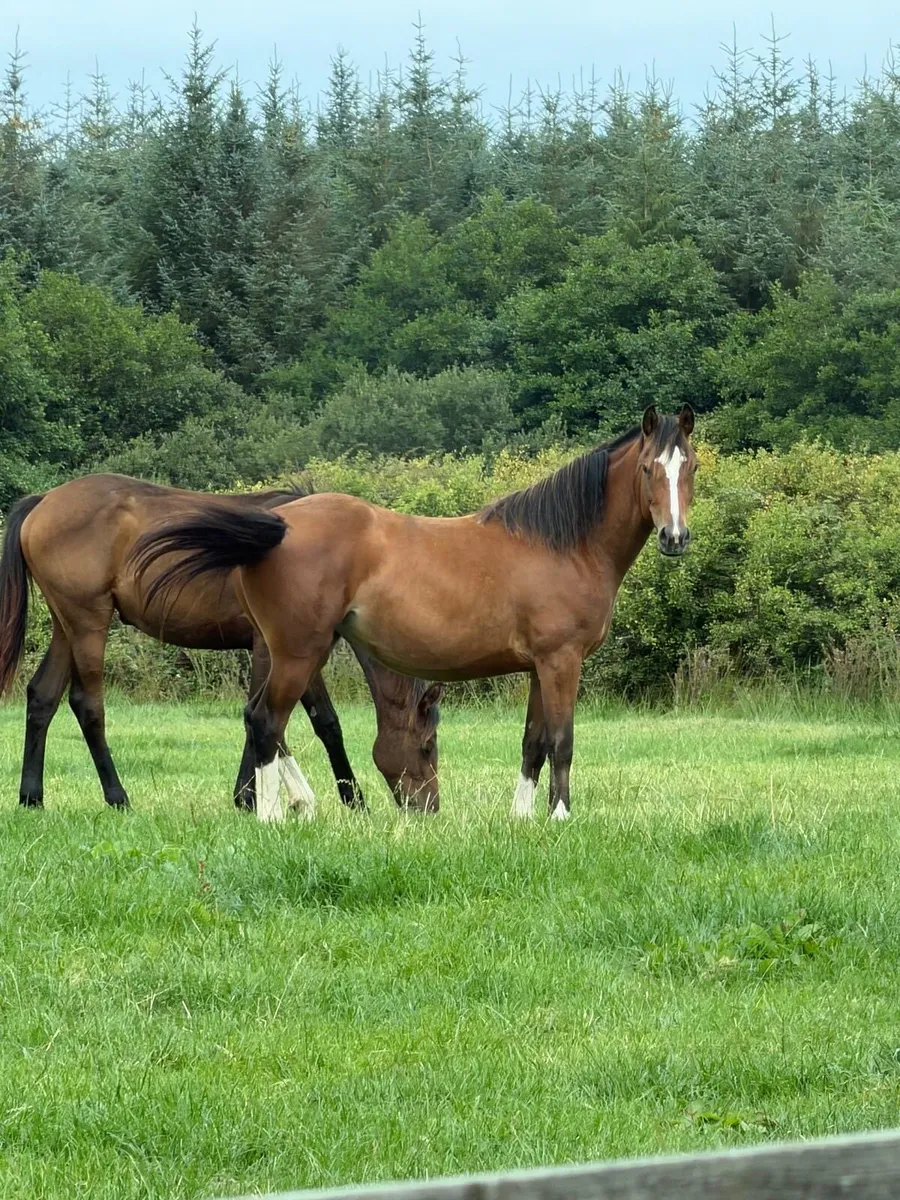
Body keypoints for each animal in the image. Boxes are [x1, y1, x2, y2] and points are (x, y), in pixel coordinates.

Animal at [0, 475, 442, 817]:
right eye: (427, 746)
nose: (427, 807)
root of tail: (44, 501)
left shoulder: (298, 653)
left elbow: (322, 723)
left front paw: (344, 800)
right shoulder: (272, 649)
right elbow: (265, 719)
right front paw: (257, 799)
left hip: (66, 626)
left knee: (42, 696)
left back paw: (31, 797)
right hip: (88, 622)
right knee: (87, 705)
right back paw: (118, 798)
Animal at [131, 406, 696, 820]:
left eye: (689, 466)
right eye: (648, 468)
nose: (675, 537)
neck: (563, 546)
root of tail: (278, 526)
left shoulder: (540, 666)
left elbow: (532, 743)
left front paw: (521, 819)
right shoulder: (562, 662)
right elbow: (562, 741)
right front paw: (560, 819)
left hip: (285, 652)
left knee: (259, 721)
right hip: (297, 654)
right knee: (268, 721)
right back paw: (273, 816)